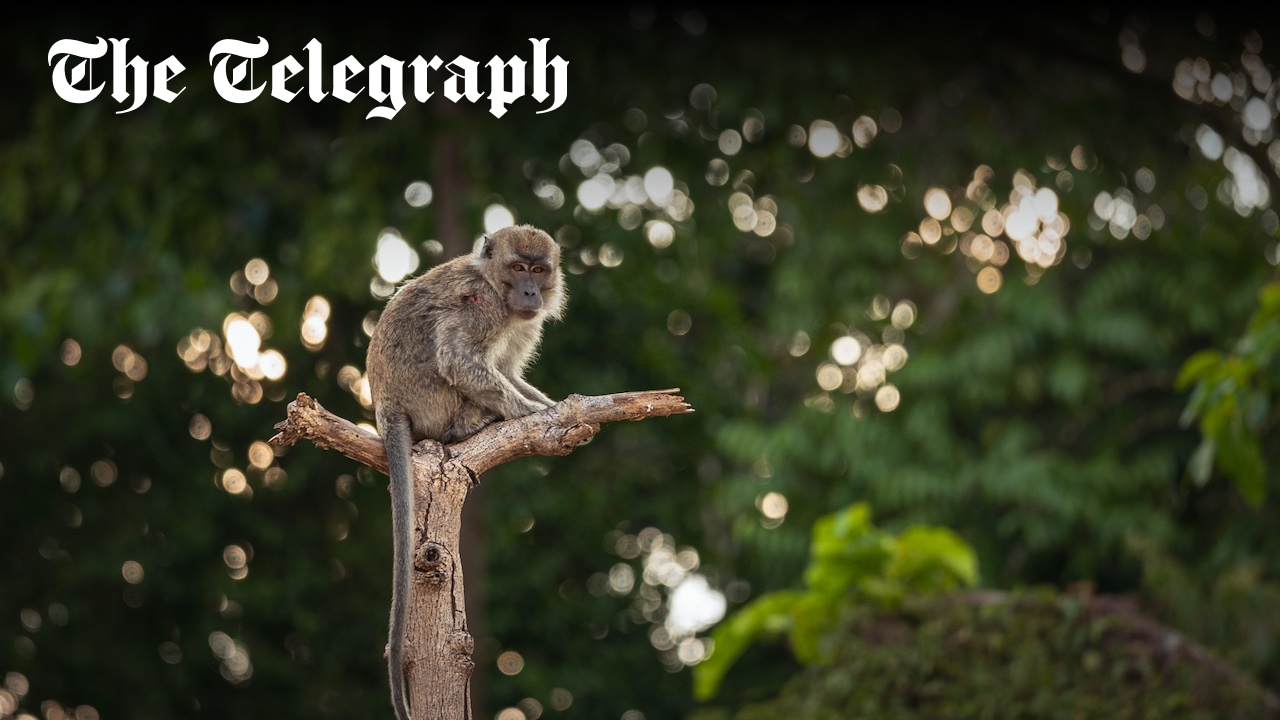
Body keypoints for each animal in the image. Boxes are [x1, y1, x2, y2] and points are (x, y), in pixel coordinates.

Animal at [365, 224, 566, 720]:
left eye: (539, 269)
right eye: (519, 268)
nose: (531, 291)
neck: (496, 286)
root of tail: (385, 406)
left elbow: (507, 370)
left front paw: (552, 403)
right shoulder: (482, 306)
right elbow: (459, 359)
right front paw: (531, 412)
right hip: (431, 404)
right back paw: (471, 425)